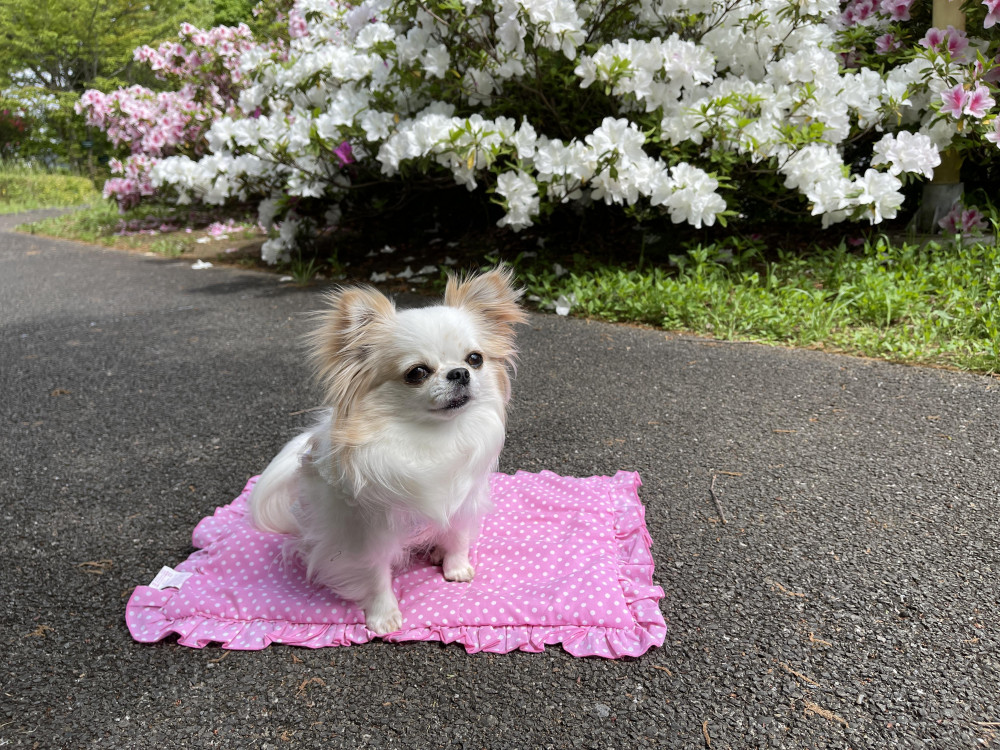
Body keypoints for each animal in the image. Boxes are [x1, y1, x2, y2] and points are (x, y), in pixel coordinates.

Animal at [248, 268, 524, 636]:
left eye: (475, 359)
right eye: (417, 372)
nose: (460, 372)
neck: (432, 439)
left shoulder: (464, 498)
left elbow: (458, 535)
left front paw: (456, 566)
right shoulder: (365, 532)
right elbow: (374, 573)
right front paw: (383, 614)